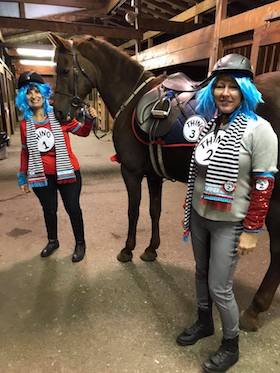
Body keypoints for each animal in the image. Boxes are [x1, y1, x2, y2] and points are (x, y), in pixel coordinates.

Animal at [49, 33, 280, 332]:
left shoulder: (131, 171)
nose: (58, 112)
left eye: (64, 70)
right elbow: (154, 210)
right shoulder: (154, 174)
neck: (131, 98)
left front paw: (128, 250)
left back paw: (255, 309)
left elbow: (133, 211)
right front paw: (150, 250)